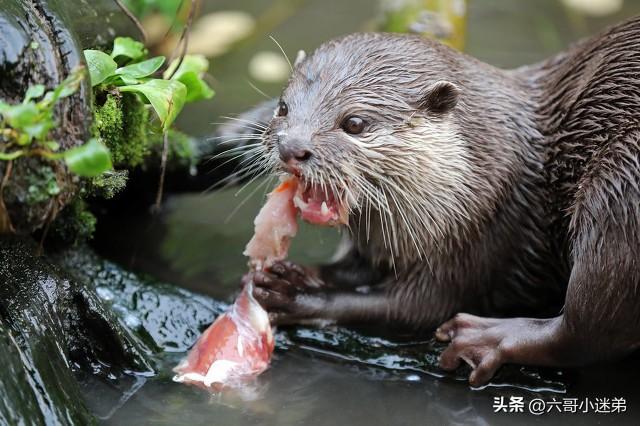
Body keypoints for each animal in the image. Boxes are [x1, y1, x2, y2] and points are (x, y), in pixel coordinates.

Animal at [235, 18, 640, 388]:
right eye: (283, 108)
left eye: (354, 123)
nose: (292, 147)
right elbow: (352, 271)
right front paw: (290, 273)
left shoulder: (483, 234)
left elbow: (416, 308)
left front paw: (294, 295)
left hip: (620, 184)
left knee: (587, 329)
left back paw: (484, 338)